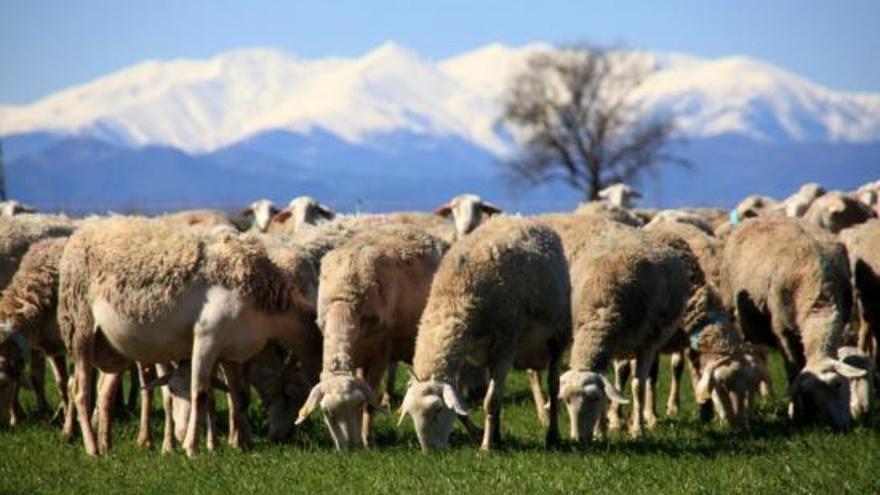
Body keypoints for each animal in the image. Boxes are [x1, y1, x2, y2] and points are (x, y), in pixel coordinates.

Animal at [55, 217, 318, 458]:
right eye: (290, 394)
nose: (282, 437)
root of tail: (82, 230)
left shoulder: (232, 350)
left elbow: (237, 394)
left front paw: (240, 444)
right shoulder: (207, 337)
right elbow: (200, 394)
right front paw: (192, 448)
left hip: (113, 348)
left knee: (104, 392)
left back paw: (106, 446)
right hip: (80, 328)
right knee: (80, 391)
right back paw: (92, 449)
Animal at [298, 227, 450, 452]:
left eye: (358, 405)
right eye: (326, 413)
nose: (351, 448)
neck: (343, 302)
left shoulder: (380, 351)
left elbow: (371, 401)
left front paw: (368, 440)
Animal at [398, 218, 572, 454]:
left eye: (438, 410)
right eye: (410, 414)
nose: (430, 452)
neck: (455, 295)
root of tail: (525, 220)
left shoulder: (506, 346)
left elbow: (489, 401)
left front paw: (486, 447)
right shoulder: (467, 351)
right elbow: (464, 404)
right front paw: (479, 434)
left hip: (557, 335)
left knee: (554, 386)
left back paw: (552, 435)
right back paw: (498, 435)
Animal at [720, 218, 868, 430]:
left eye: (839, 383)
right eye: (810, 395)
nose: (840, 426)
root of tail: (756, 218)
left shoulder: (842, 319)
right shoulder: (783, 332)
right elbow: (793, 372)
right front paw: (796, 414)